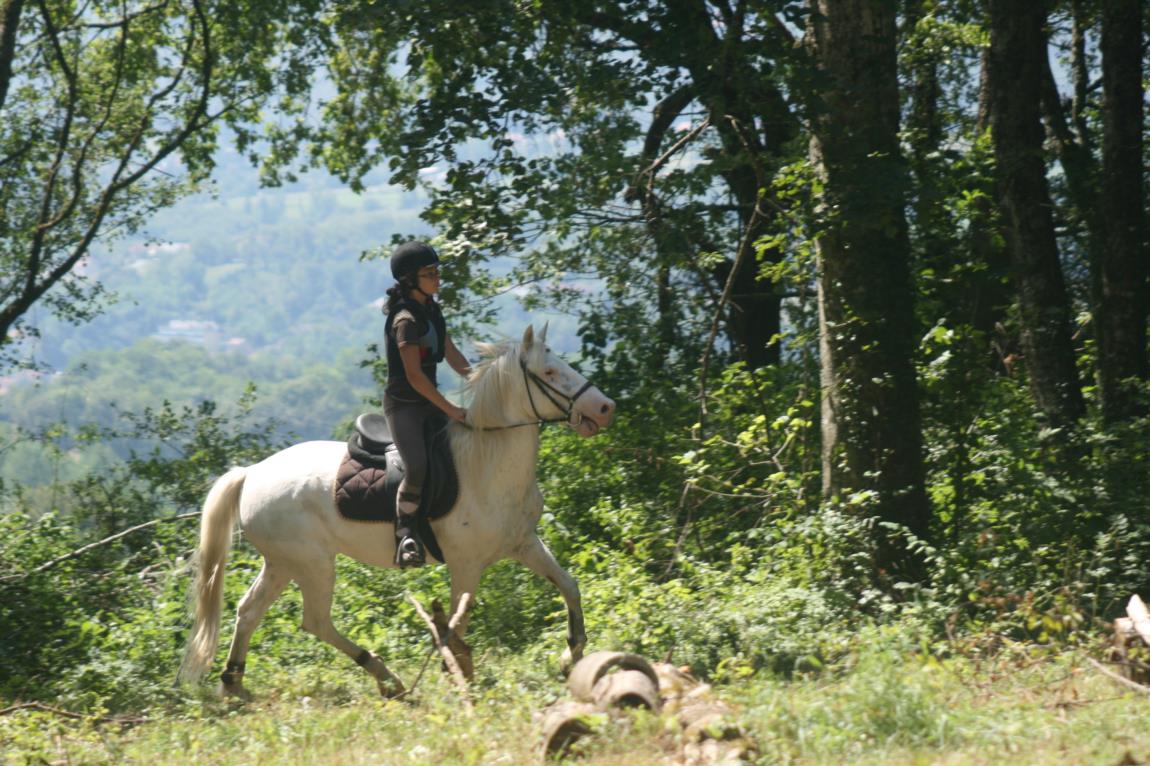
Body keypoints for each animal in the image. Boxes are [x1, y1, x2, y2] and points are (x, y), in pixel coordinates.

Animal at [176, 324, 615, 697]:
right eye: (549, 372)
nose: (605, 407)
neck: (488, 463)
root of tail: (252, 473)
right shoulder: (466, 565)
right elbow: (456, 623)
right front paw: (457, 671)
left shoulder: (523, 544)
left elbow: (569, 586)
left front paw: (572, 654)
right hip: (312, 563)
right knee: (315, 621)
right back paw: (387, 678)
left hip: (282, 563)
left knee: (249, 611)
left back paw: (234, 683)